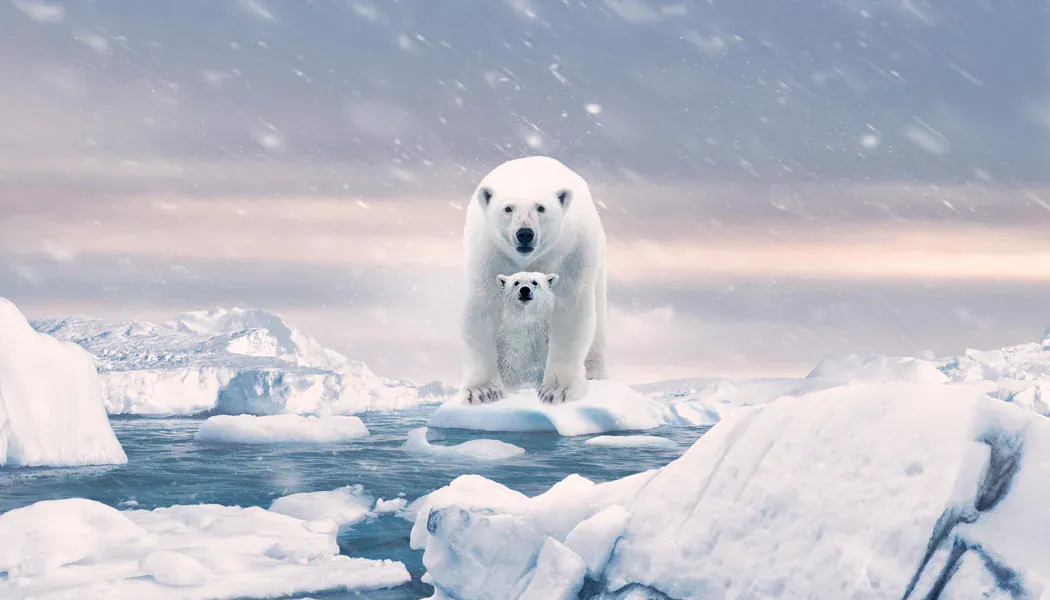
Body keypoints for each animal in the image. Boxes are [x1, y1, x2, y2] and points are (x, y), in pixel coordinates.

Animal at [459, 156, 608, 405]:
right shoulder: (489, 254)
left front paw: (557, 390)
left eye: (541, 207)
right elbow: (482, 308)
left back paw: (597, 375)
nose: (525, 233)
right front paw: (484, 390)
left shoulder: (572, 252)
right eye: (508, 208)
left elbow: (570, 309)